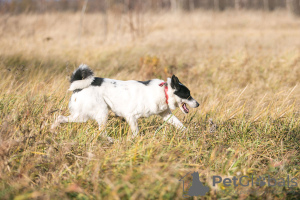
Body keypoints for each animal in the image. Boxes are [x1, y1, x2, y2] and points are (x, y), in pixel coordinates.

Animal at [51, 64, 199, 139]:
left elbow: (180, 125)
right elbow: (136, 132)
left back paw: (52, 129)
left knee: (60, 117)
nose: (198, 104)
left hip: (81, 116)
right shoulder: (131, 116)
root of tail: (78, 87)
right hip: (101, 112)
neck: (164, 91)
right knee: (102, 132)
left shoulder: (166, 115)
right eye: (188, 95)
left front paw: (189, 133)